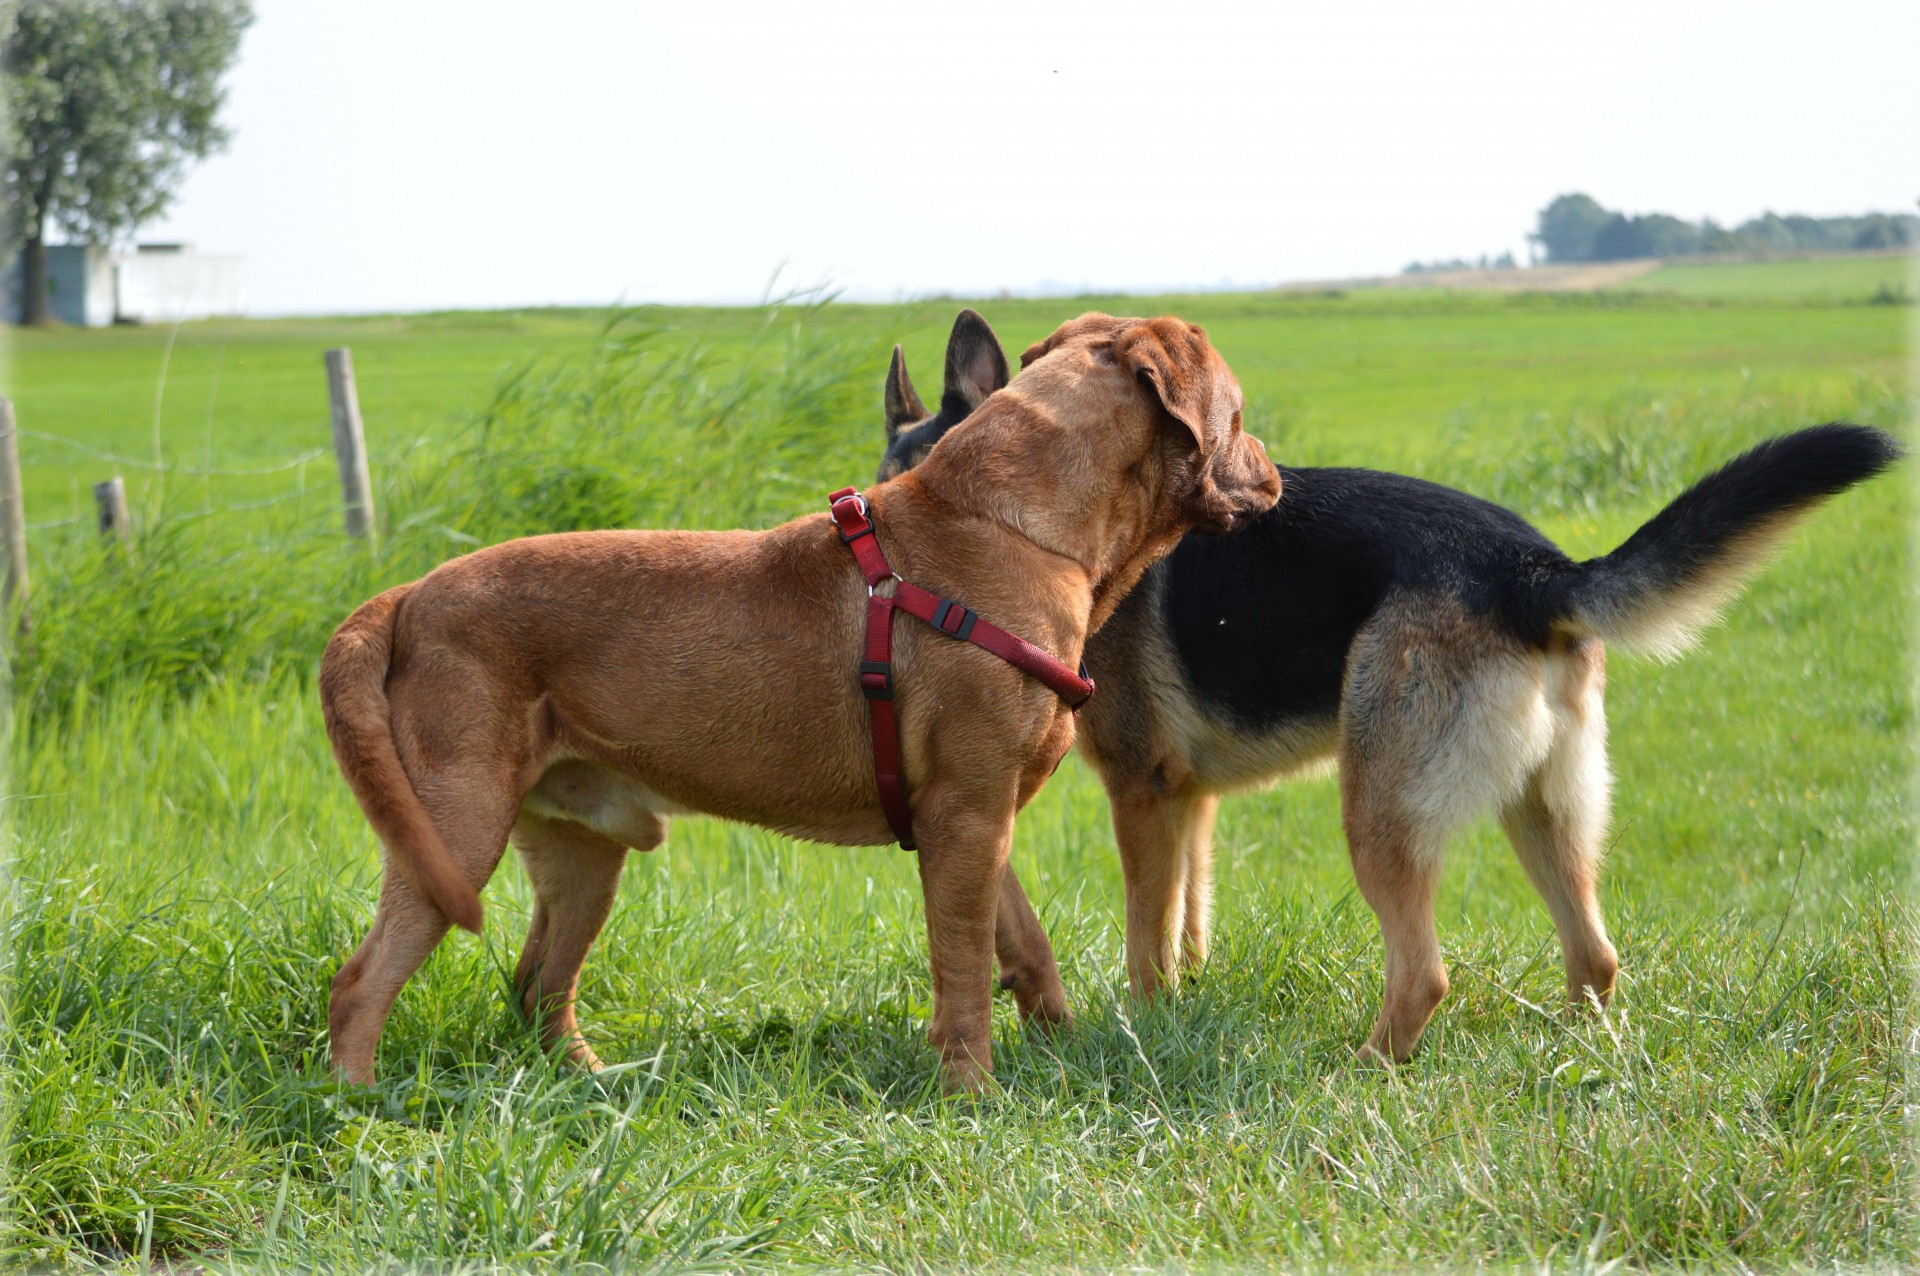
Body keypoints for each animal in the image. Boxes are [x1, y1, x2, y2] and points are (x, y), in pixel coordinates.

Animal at [322, 312, 1282, 1089]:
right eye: (1238, 413)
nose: (1275, 472)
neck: (1018, 524)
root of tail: (405, 596)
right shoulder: (968, 815)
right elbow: (964, 967)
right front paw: (971, 1091)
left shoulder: (973, 812)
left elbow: (1026, 945)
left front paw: (1064, 1048)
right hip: (453, 829)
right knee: (362, 983)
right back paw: (359, 1109)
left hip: (581, 852)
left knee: (537, 988)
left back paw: (595, 1086)